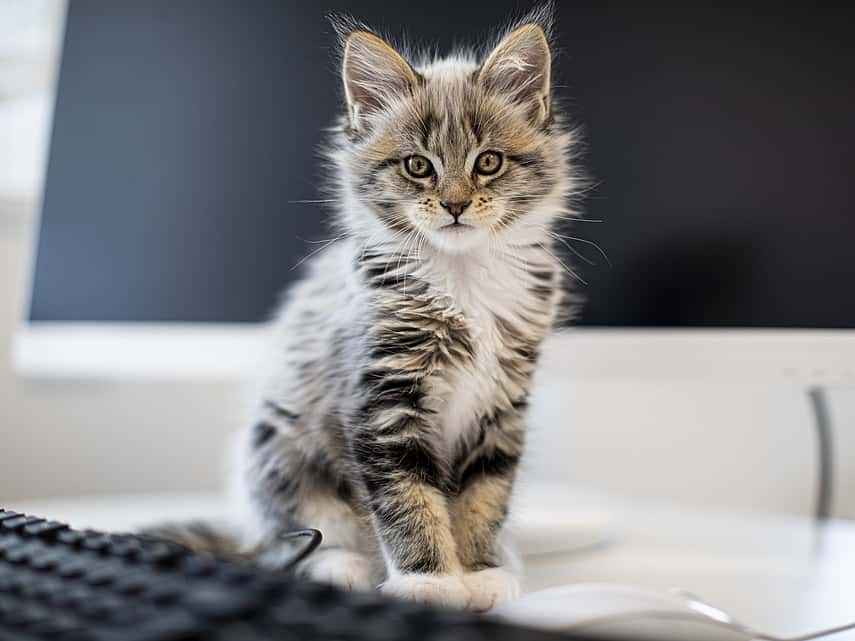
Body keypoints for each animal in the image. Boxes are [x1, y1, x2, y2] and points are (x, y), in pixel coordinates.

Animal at [155, 7, 580, 612]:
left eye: (489, 162)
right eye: (418, 166)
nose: (454, 204)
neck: (461, 276)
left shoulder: (502, 404)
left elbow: (485, 497)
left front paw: (480, 571)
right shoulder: (382, 399)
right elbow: (409, 501)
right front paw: (430, 582)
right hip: (277, 450)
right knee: (293, 539)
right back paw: (342, 567)